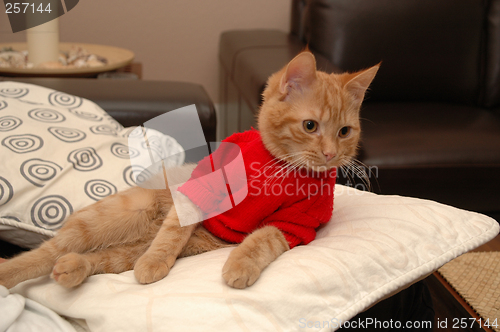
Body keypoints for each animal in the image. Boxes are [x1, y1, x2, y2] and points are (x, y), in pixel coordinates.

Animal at [0, 50, 376, 290]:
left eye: (345, 132)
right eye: (310, 126)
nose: (330, 154)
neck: (279, 166)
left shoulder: (294, 224)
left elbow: (262, 240)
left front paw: (241, 263)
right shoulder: (199, 190)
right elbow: (173, 233)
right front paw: (157, 261)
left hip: (149, 249)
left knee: (100, 259)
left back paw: (73, 268)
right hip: (117, 214)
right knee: (47, 252)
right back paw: (12, 273)